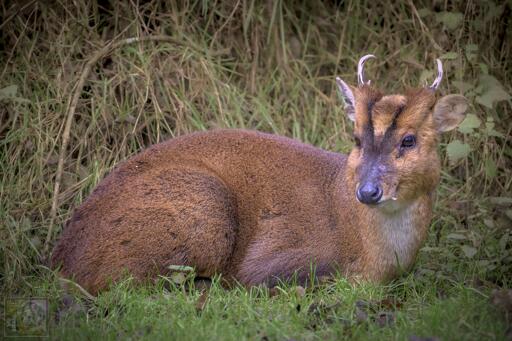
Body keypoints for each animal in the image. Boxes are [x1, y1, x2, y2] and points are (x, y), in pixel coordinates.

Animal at [51, 55, 468, 292]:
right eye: (356, 138)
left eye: (409, 140)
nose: (367, 191)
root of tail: (61, 258)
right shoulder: (274, 253)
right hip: (205, 207)